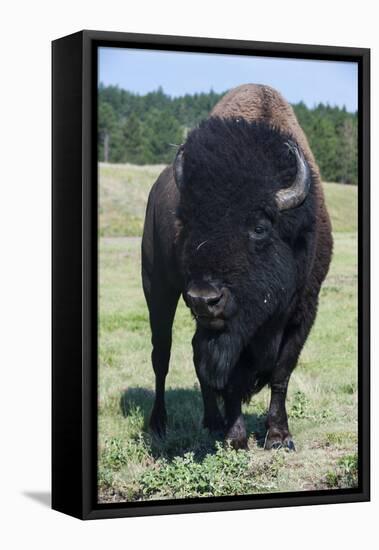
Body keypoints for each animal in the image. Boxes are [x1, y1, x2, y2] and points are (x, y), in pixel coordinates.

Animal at [142, 84, 332, 450]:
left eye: (259, 227)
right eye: (188, 223)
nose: (204, 299)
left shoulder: (305, 309)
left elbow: (282, 372)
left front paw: (279, 437)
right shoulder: (228, 331)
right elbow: (229, 375)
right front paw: (237, 438)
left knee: (194, 354)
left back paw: (212, 421)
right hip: (157, 288)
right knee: (162, 354)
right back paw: (159, 424)